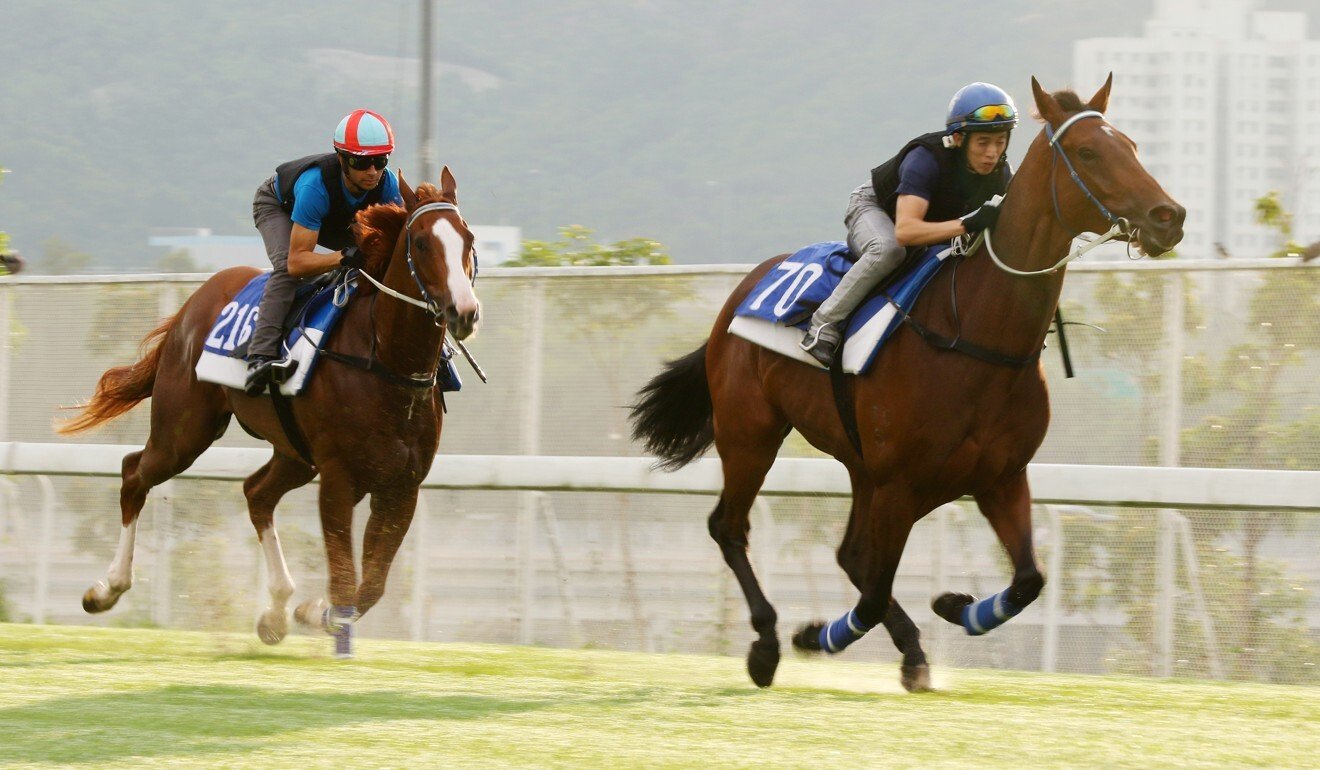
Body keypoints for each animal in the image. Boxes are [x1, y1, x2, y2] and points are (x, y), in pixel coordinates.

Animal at [62, 165, 483, 655]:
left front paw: (312, 612)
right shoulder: (339, 478)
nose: (463, 311)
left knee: (256, 493)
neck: (385, 360)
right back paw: (106, 589)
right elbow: (347, 577)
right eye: (420, 242)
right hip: (184, 431)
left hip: (294, 454)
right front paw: (323, 616)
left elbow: (371, 585)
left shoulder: (402, 485)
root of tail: (192, 304)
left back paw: (276, 611)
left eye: (468, 238)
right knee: (134, 473)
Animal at [628, 76, 1188, 692]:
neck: (976, 336)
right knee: (730, 527)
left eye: (1131, 145)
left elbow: (1027, 580)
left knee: (849, 554)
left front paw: (955, 607)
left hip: (858, 463)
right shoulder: (901, 482)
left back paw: (906, 647)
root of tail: (743, 288)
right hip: (750, 432)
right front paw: (817, 636)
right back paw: (769, 643)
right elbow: (873, 595)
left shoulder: (999, 476)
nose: (1169, 216)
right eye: (1088, 152)